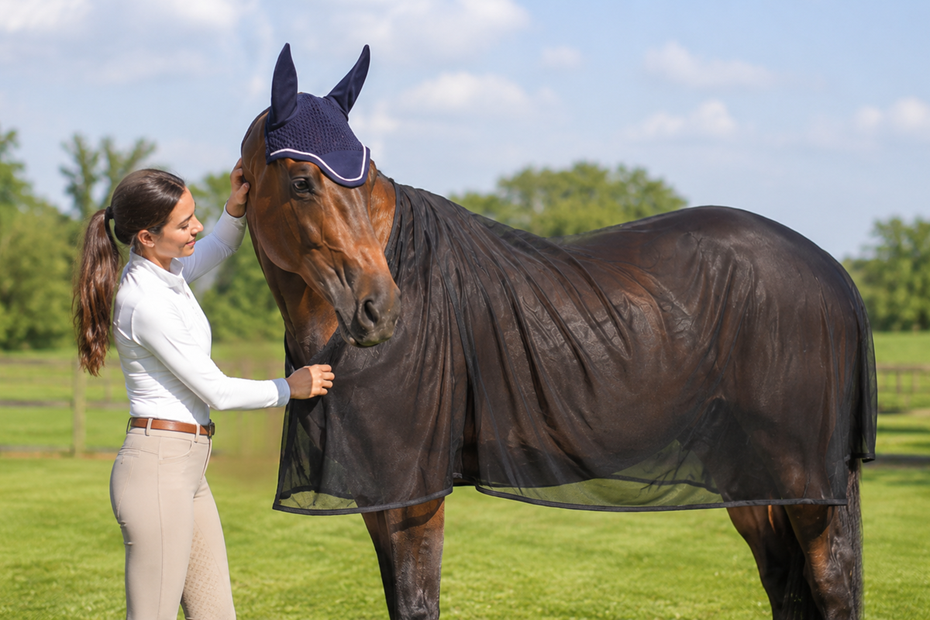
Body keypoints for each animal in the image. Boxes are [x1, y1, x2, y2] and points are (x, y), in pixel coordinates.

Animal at [238, 44, 876, 620]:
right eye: (302, 182)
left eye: (365, 177)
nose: (381, 309)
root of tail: (831, 271)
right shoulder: (382, 491)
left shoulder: (411, 492)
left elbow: (417, 602)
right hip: (748, 477)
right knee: (785, 585)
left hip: (805, 481)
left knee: (832, 586)